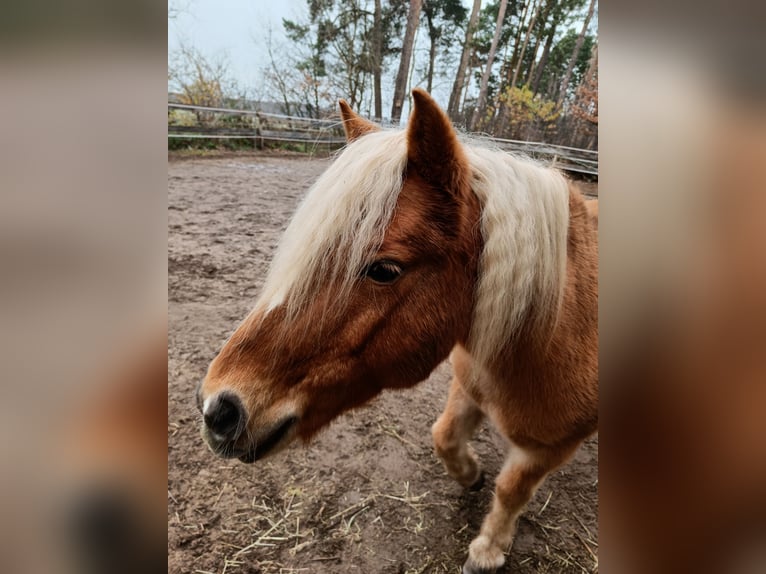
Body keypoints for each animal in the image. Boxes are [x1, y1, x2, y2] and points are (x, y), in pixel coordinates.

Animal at [197, 89, 598, 573]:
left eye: (385, 270)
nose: (218, 409)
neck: (553, 334)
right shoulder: (468, 386)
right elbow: (443, 437)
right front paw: (471, 476)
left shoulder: (550, 448)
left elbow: (512, 490)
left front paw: (487, 549)